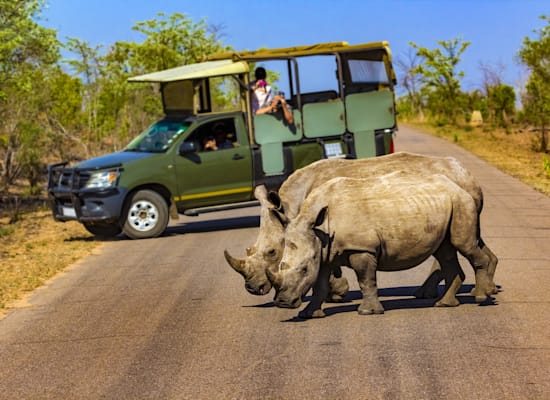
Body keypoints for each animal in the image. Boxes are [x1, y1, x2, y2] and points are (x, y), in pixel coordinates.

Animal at [226, 152, 502, 300]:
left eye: (272, 252)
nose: (252, 289)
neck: (291, 206)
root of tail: (466, 174)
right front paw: (334, 294)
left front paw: (336, 294)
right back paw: (486, 289)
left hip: (453, 194)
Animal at [268, 173, 496, 318]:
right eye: (281, 265)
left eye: (304, 269)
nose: (282, 302)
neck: (319, 228)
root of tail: (458, 185)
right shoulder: (324, 253)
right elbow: (320, 286)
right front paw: (308, 314)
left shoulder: (361, 248)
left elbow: (365, 280)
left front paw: (367, 312)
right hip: (446, 204)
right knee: (445, 252)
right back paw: (444, 304)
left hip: (461, 202)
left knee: (463, 244)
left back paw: (481, 298)